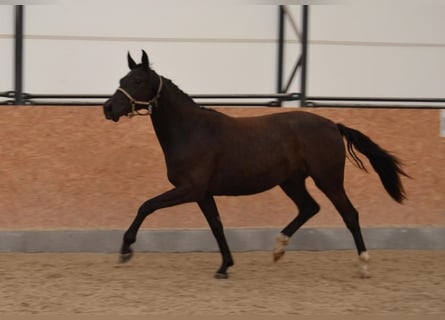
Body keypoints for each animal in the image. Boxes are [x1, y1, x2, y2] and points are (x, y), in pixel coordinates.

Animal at [102, 50, 408, 278]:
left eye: (138, 81)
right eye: (122, 78)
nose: (108, 108)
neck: (191, 131)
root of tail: (333, 125)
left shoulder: (190, 189)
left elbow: (147, 206)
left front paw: (125, 250)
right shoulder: (203, 194)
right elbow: (216, 226)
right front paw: (225, 267)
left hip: (328, 179)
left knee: (350, 214)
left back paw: (364, 265)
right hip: (292, 181)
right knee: (309, 207)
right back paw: (278, 248)